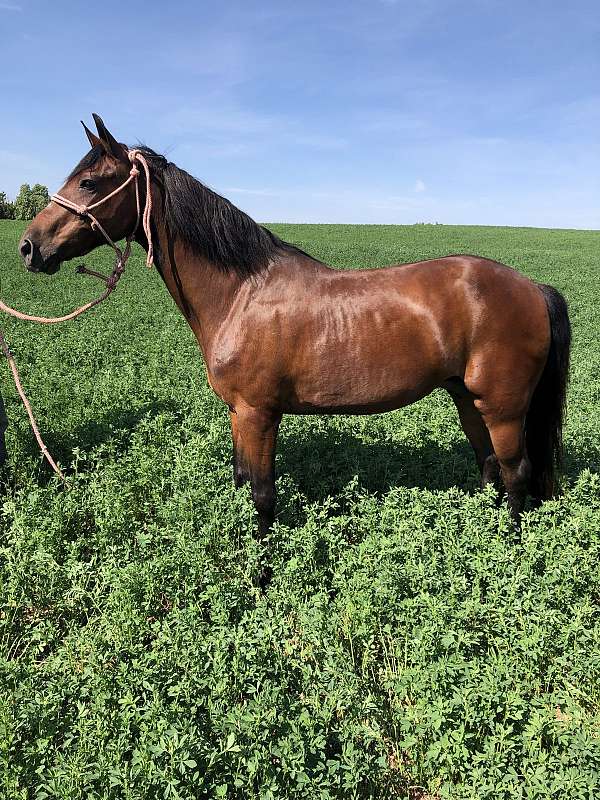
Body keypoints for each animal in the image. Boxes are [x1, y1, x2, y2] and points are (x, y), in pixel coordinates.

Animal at [18, 115, 571, 536]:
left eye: (89, 183)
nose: (29, 246)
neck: (241, 292)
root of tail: (533, 288)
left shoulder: (259, 413)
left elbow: (263, 495)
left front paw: (260, 580)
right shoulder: (239, 414)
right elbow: (243, 482)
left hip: (502, 407)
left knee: (516, 472)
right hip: (466, 398)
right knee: (490, 468)